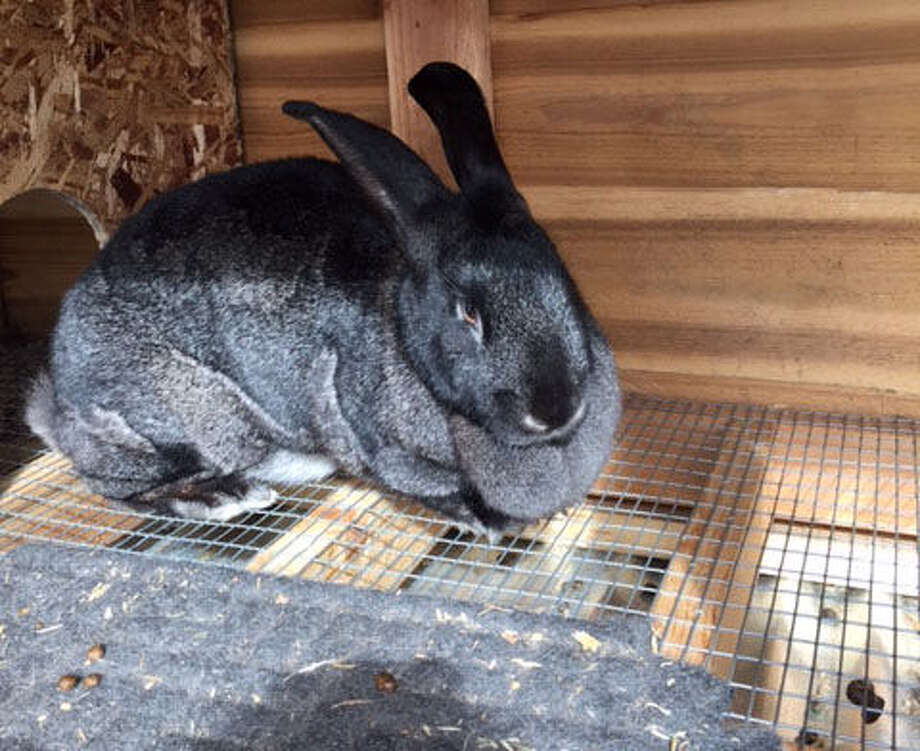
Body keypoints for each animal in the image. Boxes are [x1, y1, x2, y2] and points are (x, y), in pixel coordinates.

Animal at [25, 61, 621, 534]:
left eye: (563, 276)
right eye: (468, 313)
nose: (557, 409)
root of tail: (55, 400)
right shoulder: (368, 432)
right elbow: (421, 484)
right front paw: (485, 518)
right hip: (190, 423)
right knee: (115, 485)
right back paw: (227, 496)